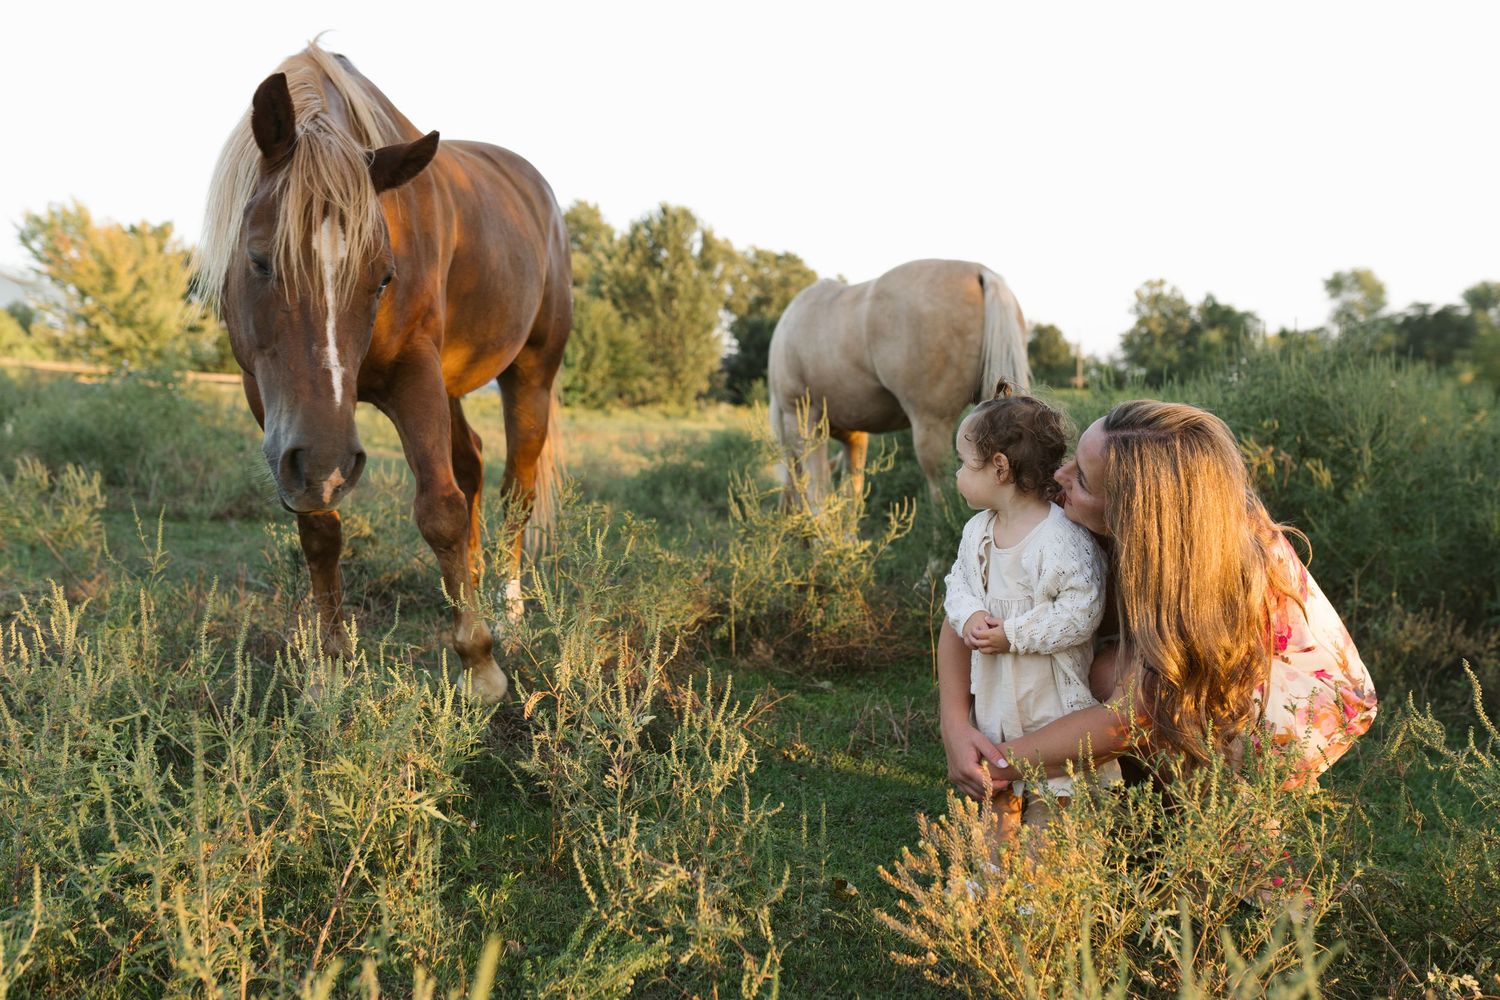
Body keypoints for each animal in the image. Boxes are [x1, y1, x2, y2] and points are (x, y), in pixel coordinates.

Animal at [195, 42, 570, 704]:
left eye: (383, 276)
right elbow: (320, 530)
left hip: (531, 374)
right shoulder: (279, 415)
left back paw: (508, 615)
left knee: (514, 493)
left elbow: (440, 509)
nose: (325, 463)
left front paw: (480, 664)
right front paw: (331, 669)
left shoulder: (413, 375)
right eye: (259, 259)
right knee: (472, 462)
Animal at [767, 258, 1030, 526]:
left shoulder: (804, 421)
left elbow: (817, 496)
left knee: (941, 491)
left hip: (931, 427)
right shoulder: (854, 437)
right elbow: (852, 496)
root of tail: (981, 272)